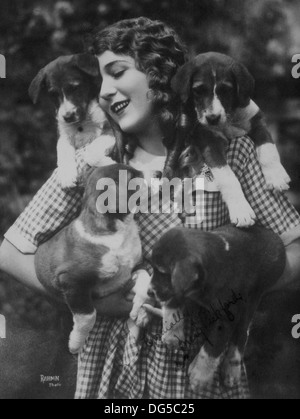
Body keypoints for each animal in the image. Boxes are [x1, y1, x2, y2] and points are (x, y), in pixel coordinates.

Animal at [29, 54, 113, 189]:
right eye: (53, 94)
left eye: (75, 88)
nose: (68, 117)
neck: (82, 121)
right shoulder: (64, 135)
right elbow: (62, 152)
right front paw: (66, 175)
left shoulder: (111, 129)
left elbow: (91, 152)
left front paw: (108, 162)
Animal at [34, 164, 145, 354]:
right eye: (132, 177)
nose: (158, 173)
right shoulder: (73, 281)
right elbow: (88, 316)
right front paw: (76, 344)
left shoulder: (129, 271)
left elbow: (146, 275)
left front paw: (141, 311)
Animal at [150, 225, 286, 392]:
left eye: (163, 272)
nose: (149, 292)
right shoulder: (179, 289)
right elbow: (173, 300)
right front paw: (171, 334)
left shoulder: (227, 316)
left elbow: (214, 345)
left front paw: (200, 375)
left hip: (251, 302)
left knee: (241, 336)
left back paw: (231, 369)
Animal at [171, 54, 290, 228]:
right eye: (198, 91)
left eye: (226, 90)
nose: (212, 118)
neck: (228, 121)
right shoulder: (210, 143)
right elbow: (228, 178)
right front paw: (241, 211)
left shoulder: (257, 123)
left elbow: (269, 150)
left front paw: (276, 176)